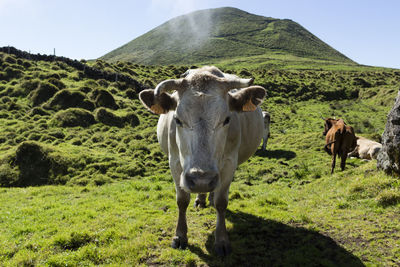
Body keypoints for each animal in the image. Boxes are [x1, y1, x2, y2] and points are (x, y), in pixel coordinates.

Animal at [138, 66, 266, 256]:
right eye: (177, 120)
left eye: (227, 119)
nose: (201, 180)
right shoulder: (175, 163)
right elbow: (182, 201)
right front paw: (180, 236)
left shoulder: (229, 164)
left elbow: (221, 203)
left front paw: (221, 240)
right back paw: (201, 198)